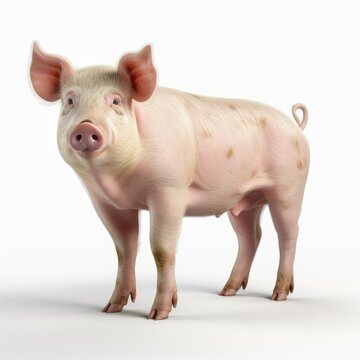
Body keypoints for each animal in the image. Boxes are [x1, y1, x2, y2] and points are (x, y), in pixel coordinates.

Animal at [29, 43, 310, 320]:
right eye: (69, 100)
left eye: (116, 100)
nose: (86, 127)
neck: (118, 180)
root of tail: (296, 126)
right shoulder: (107, 203)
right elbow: (124, 248)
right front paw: (110, 308)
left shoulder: (169, 189)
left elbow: (162, 250)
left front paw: (158, 314)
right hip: (245, 199)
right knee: (251, 236)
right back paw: (226, 291)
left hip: (289, 186)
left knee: (288, 233)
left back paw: (279, 294)